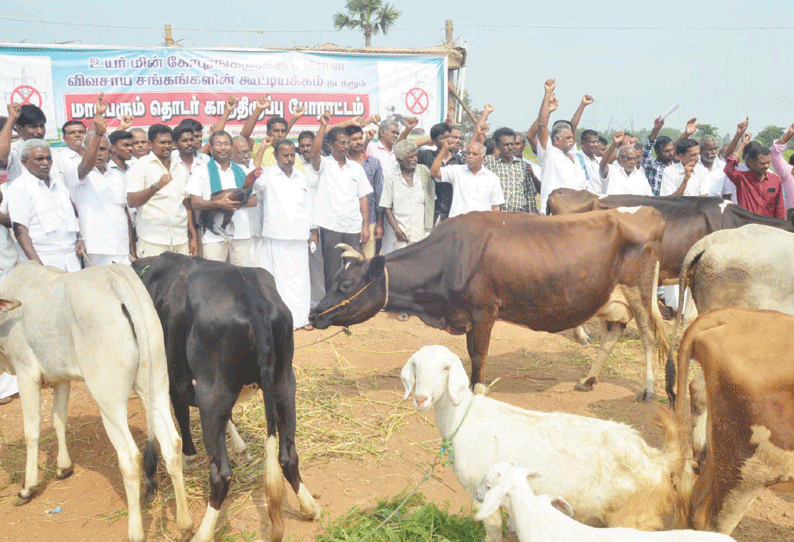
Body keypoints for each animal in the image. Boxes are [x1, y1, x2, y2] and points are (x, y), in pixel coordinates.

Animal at [0, 264, 193, 542]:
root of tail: (117, 278)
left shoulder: (27, 372)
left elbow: (32, 430)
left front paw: (27, 488)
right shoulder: (61, 378)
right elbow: (58, 419)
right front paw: (63, 468)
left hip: (109, 401)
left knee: (131, 458)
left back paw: (136, 532)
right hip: (156, 385)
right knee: (171, 445)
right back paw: (184, 525)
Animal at [310, 208, 668, 404]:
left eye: (345, 284)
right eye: (334, 280)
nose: (313, 314)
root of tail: (645, 213)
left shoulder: (483, 311)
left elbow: (478, 354)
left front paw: (478, 390)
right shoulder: (468, 315)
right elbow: (470, 354)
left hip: (639, 290)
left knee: (648, 336)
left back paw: (648, 389)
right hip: (608, 299)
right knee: (612, 335)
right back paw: (588, 380)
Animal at [402, 346, 680, 542]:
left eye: (445, 368)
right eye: (415, 365)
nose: (421, 398)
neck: (462, 418)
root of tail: (656, 458)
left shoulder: (480, 492)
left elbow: (492, 529)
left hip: (633, 517)